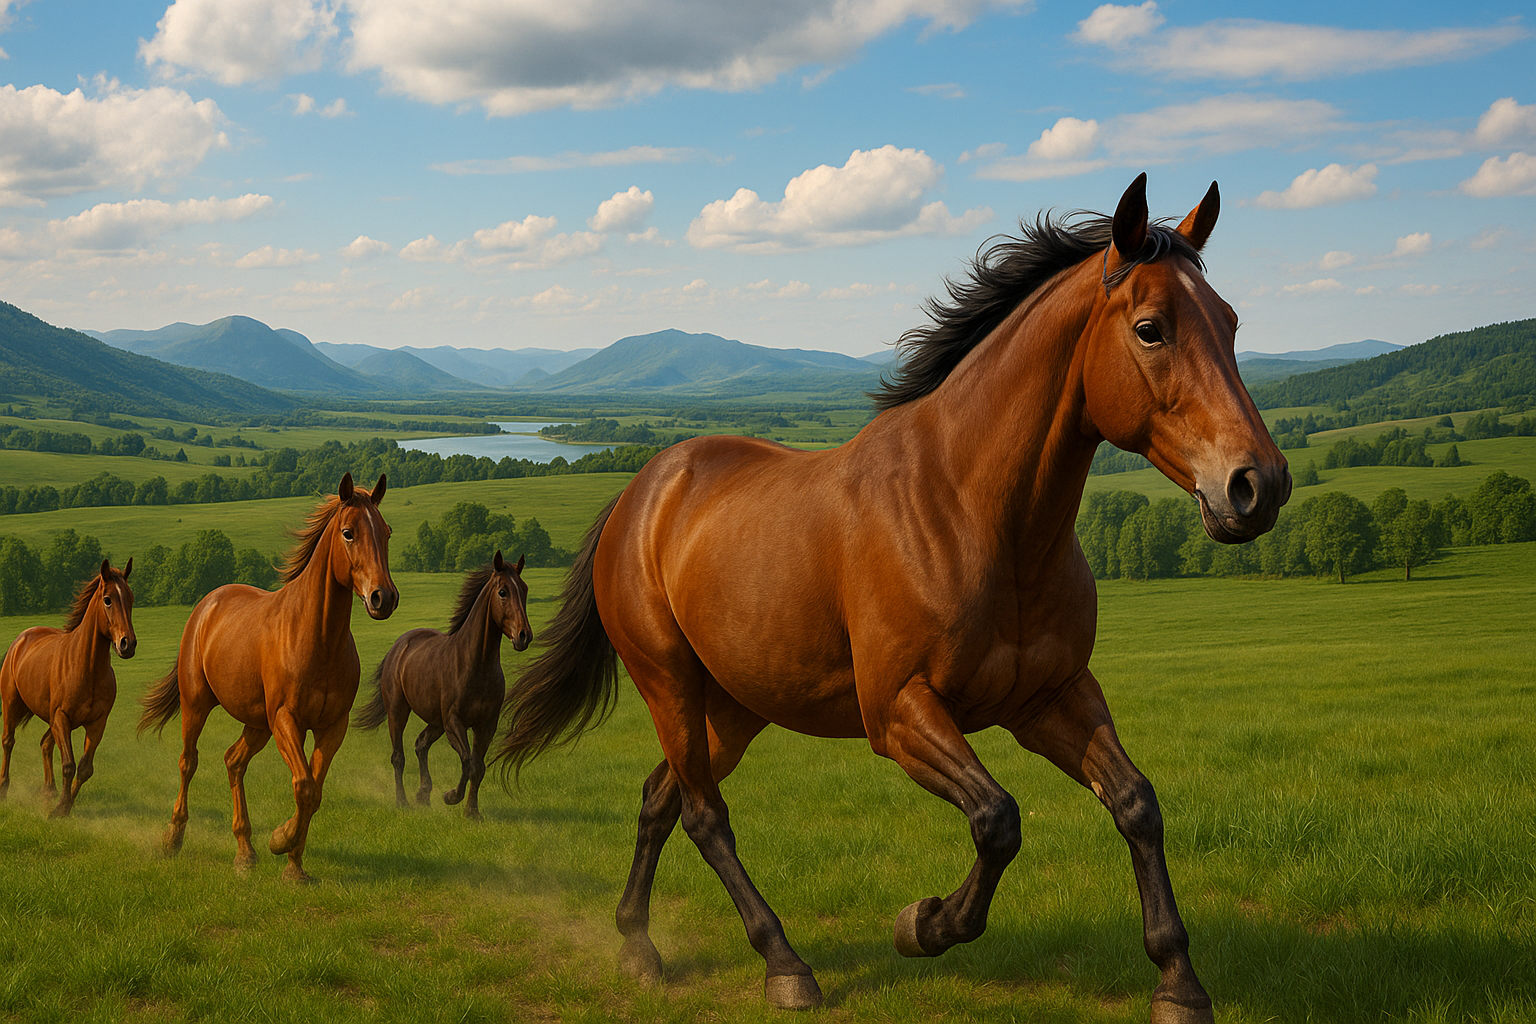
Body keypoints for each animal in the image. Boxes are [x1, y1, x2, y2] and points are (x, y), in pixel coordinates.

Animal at [1, 559, 136, 817]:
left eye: (131, 598)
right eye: (108, 599)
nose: (128, 644)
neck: (86, 668)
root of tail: (22, 639)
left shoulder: (96, 723)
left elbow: (84, 768)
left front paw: (65, 805)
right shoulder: (61, 717)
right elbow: (68, 764)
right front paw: (59, 809)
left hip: (52, 719)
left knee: (45, 744)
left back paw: (48, 791)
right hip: (13, 704)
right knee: (8, 741)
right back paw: (4, 787)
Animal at [139, 472, 397, 881]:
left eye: (386, 532)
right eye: (348, 533)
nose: (382, 598)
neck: (317, 637)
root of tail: (207, 604)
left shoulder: (331, 726)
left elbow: (314, 792)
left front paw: (293, 863)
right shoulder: (286, 720)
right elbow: (304, 786)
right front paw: (281, 840)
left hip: (256, 723)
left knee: (233, 761)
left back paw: (245, 852)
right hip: (197, 704)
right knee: (188, 762)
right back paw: (173, 839)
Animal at [353, 550, 532, 819]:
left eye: (525, 589)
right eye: (503, 592)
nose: (524, 636)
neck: (475, 664)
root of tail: (400, 645)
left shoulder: (486, 724)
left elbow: (478, 766)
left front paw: (472, 812)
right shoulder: (454, 722)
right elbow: (468, 762)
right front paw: (451, 796)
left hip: (435, 720)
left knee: (421, 744)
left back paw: (423, 796)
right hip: (399, 711)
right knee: (398, 756)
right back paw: (403, 801)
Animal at [493, 175, 1290, 1020]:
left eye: (1231, 322)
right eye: (1150, 329)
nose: (1258, 484)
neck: (974, 512)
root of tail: (642, 491)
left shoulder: (1052, 697)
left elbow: (1136, 802)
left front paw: (1178, 981)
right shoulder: (900, 711)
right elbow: (997, 818)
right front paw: (924, 924)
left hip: (734, 706)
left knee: (659, 799)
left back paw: (637, 945)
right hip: (668, 684)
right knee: (706, 816)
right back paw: (784, 965)